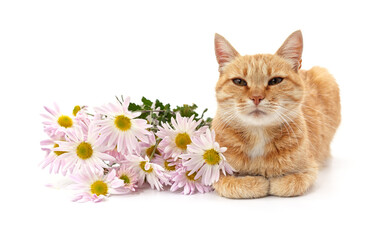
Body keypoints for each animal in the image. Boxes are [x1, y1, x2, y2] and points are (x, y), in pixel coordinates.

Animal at [211, 30, 340, 199]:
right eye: (239, 82)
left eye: (275, 81)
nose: (256, 97)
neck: (258, 135)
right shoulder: (215, 173)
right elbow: (235, 185)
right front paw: (257, 182)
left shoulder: (309, 170)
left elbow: (286, 184)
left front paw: (271, 182)